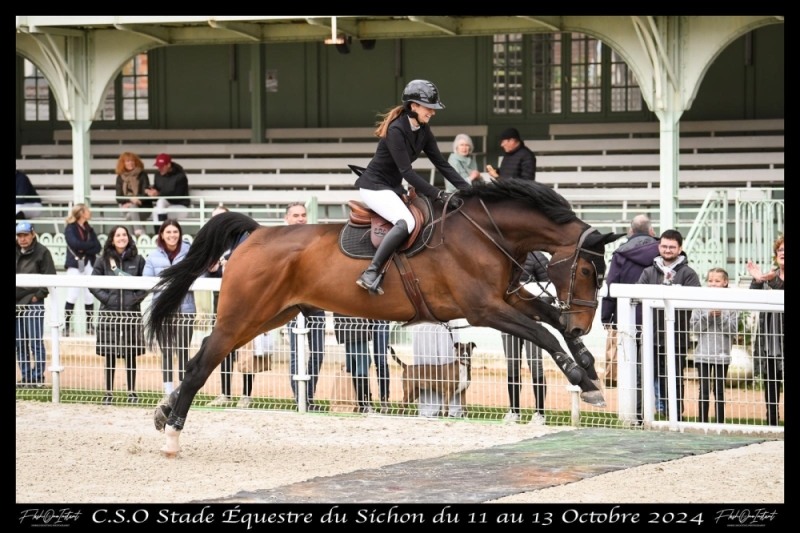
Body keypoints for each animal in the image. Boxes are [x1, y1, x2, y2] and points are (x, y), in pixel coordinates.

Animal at [148, 180, 624, 458]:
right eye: (587, 270)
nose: (584, 324)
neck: (487, 233)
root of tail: (258, 232)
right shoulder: (486, 308)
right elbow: (543, 332)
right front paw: (582, 378)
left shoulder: (509, 297)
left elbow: (549, 318)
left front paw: (588, 365)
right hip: (244, 315)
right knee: (202, 362)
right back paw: (171, 435)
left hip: (268, 316)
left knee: (202, 357)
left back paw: (163, 414)